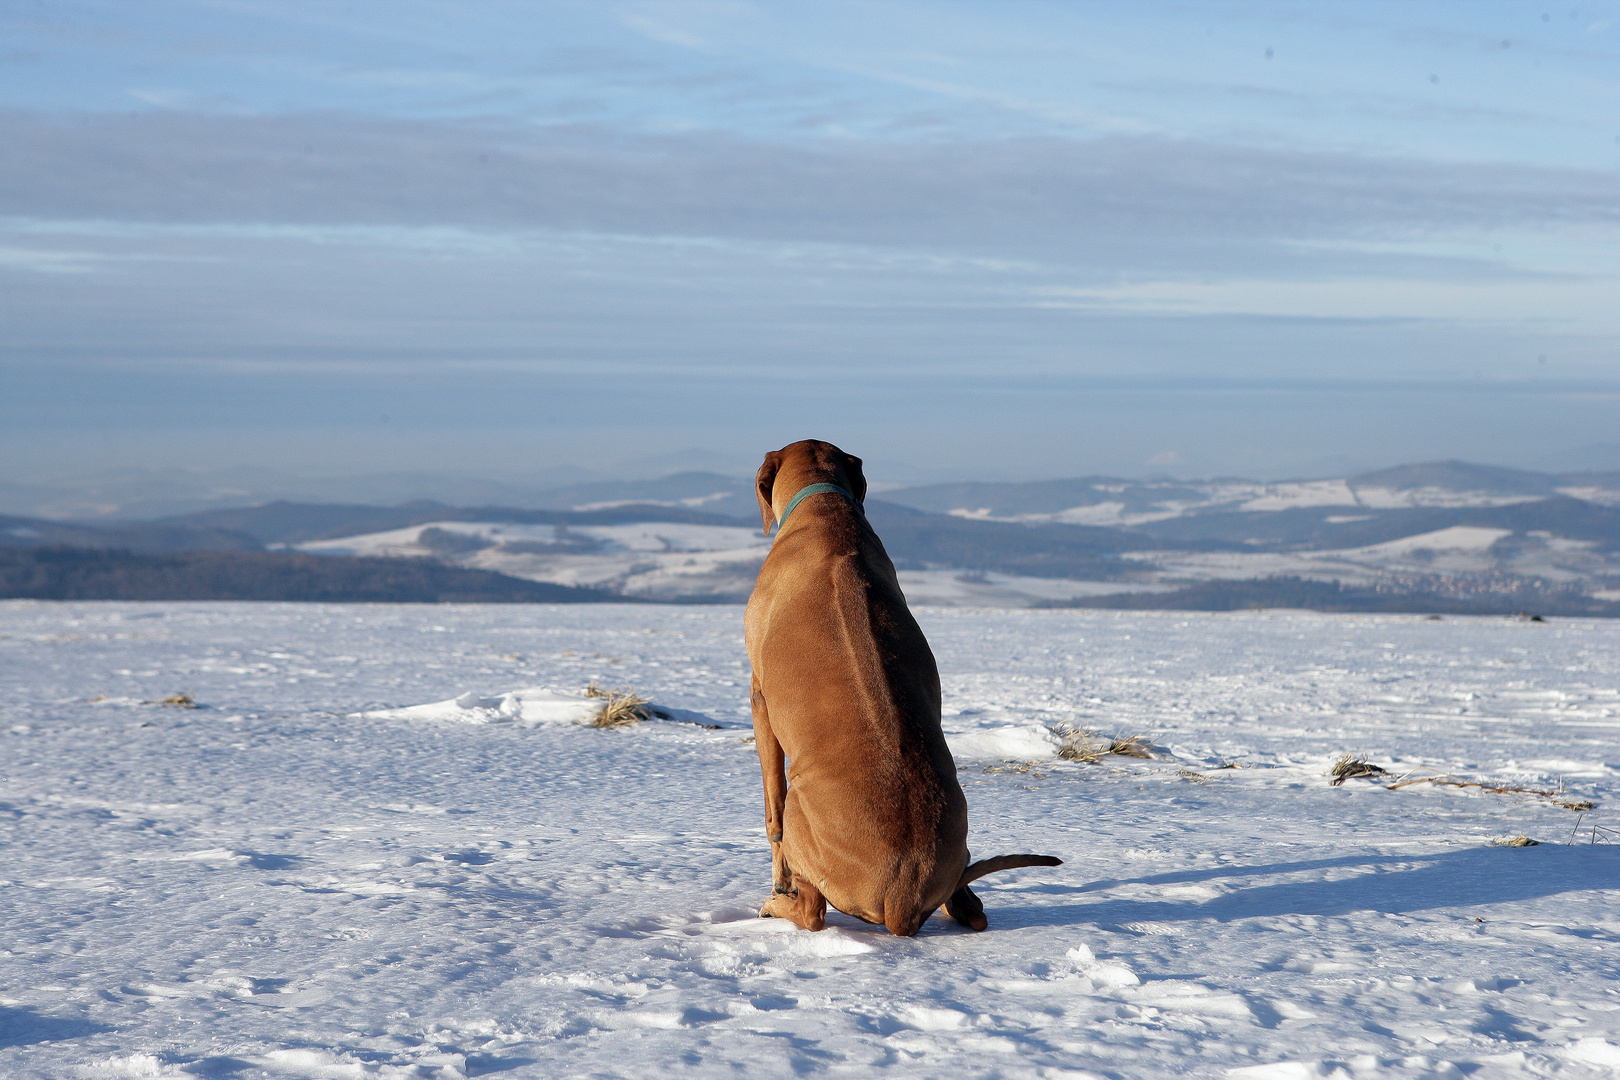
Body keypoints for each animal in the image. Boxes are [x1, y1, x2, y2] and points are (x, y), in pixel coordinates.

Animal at [741, 440, 1056, 939]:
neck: (823, 503)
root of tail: (902, 899)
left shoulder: (759, 698)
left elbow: (770, 807)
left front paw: (778, 881)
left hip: (802, 809)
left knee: (812, 911)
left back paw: (778, 905)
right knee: (972, 910)